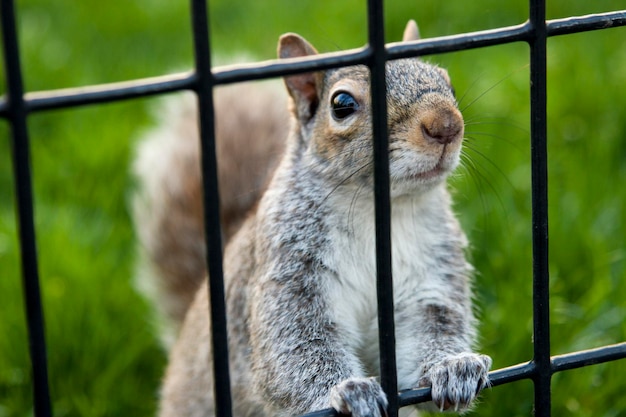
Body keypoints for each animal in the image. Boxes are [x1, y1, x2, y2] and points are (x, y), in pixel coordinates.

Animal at [134, 21, 490, 416]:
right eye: (342, 104)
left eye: (448, 82)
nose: (446, 125)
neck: (377, 211)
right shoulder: (287, 274)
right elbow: (296, 347)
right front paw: (349, 392)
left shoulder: (432, 274)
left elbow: (434, 324)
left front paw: (453, 367)